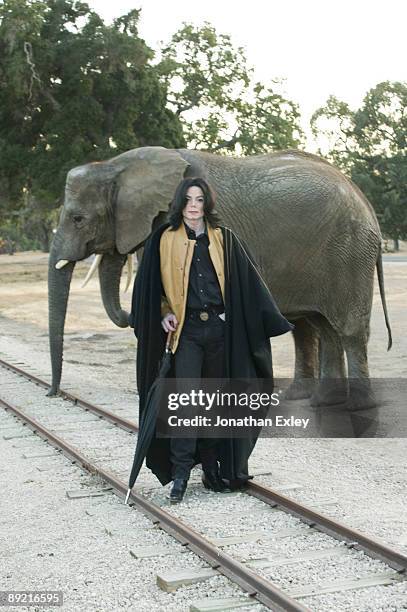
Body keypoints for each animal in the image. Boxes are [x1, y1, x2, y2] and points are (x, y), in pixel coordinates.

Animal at [47, 146, 392, 408]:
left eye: (78, 219)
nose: (53, 393)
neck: (116, 164)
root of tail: (366, 203)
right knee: (323, 327)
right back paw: (321, 402)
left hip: (348, 253)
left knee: (347, 329)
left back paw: (357, 406)